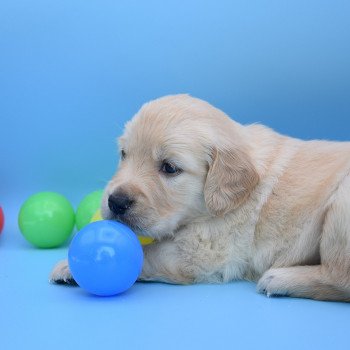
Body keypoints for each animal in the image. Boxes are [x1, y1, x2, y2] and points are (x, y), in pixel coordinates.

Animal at [50, 95, 350, 300]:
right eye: (124, 154)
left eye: (169, 168)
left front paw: (69, 265)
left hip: (341, 208)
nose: (116, 202)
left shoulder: (203, 251)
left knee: (340, 278)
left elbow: (149, 253)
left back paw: (280, 279)